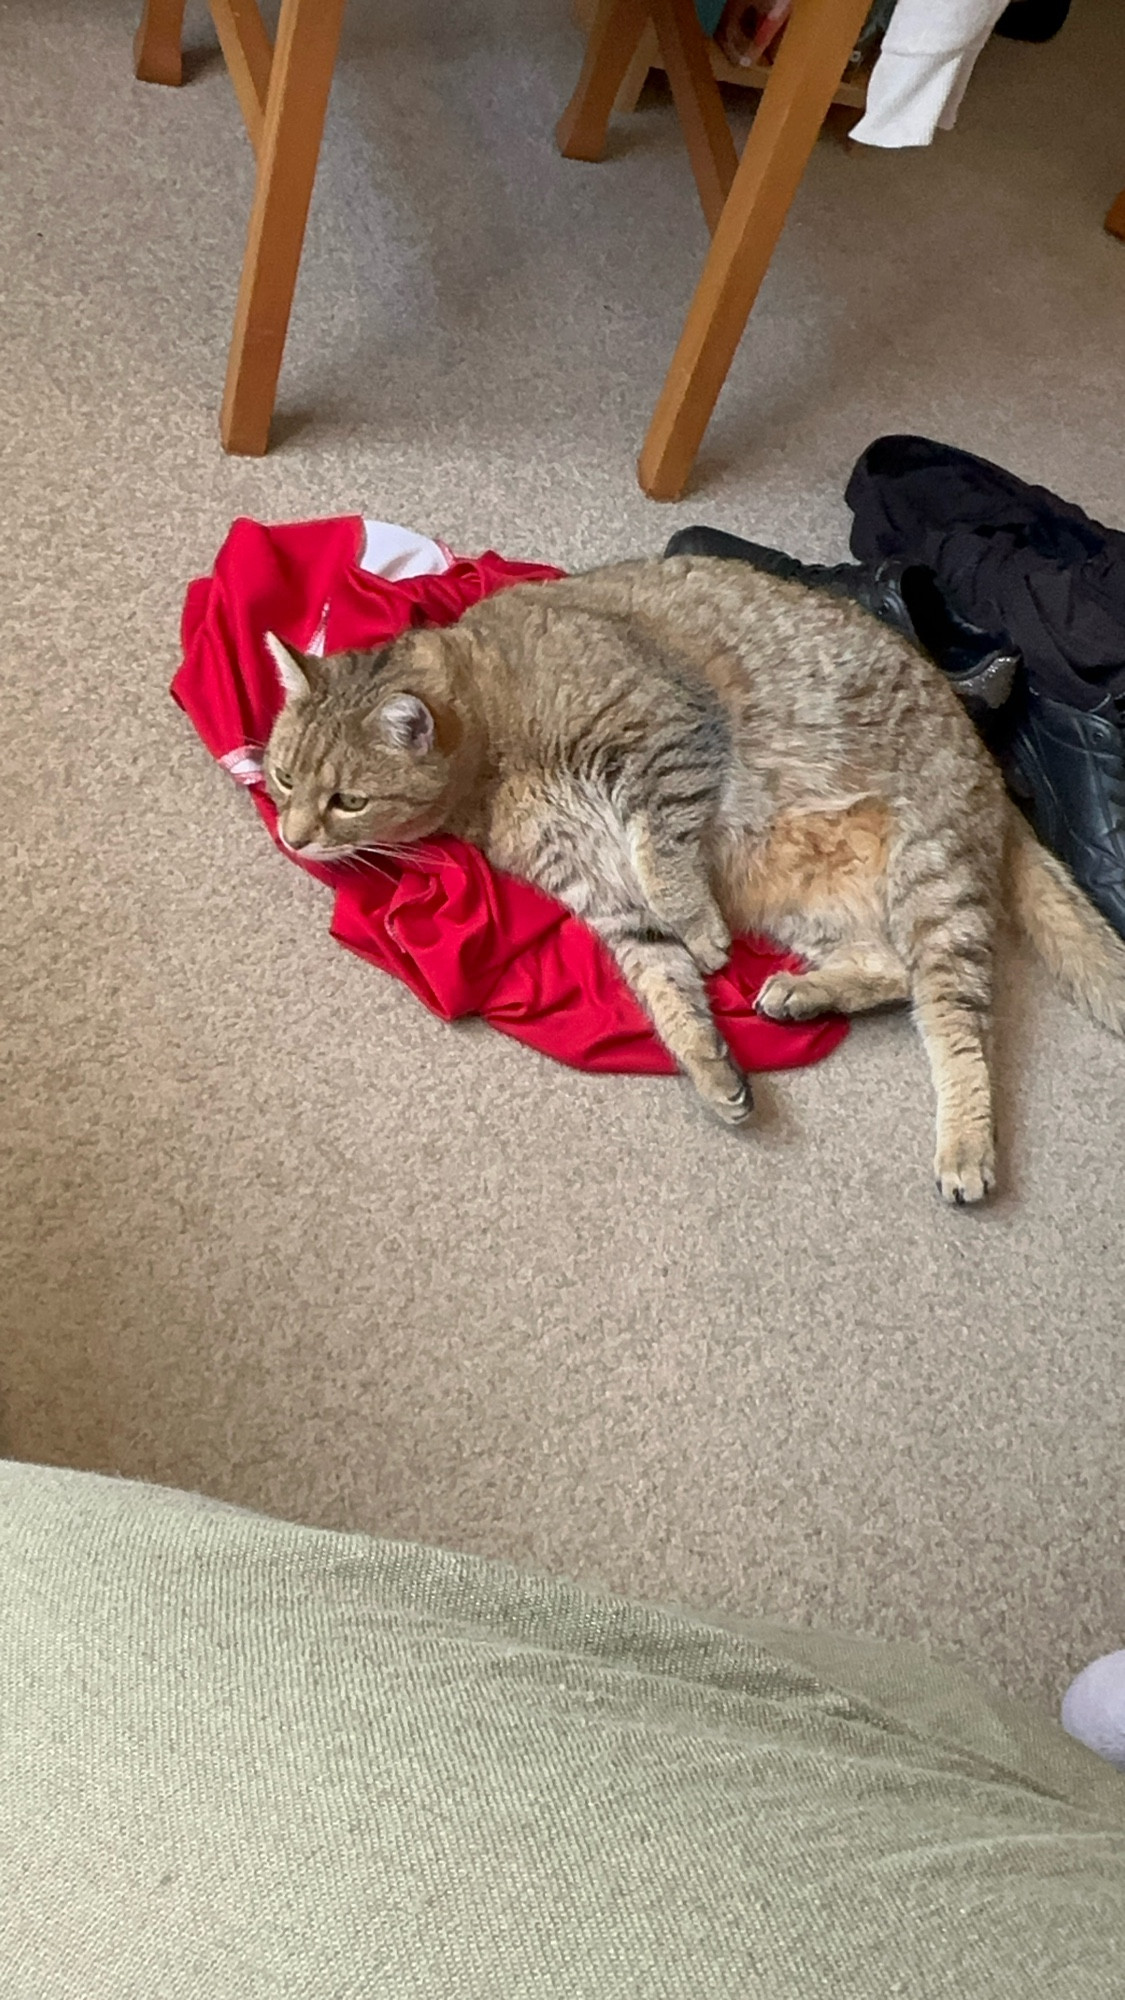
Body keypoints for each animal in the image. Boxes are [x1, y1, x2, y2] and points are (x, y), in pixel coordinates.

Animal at [256, 552, 1120, 1200]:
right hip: (809, 903)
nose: (293, 837)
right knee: (889, 969)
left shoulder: (664, 739)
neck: (492, 739)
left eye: (347, 800)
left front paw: (699, 928)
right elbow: (663, 985)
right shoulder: (599, 892)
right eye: (284, 779)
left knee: (957, 1022)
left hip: (933, 879)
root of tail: (989, 766)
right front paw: (706, 1061)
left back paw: (965, 1146)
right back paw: (804, 992)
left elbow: (662, 855)